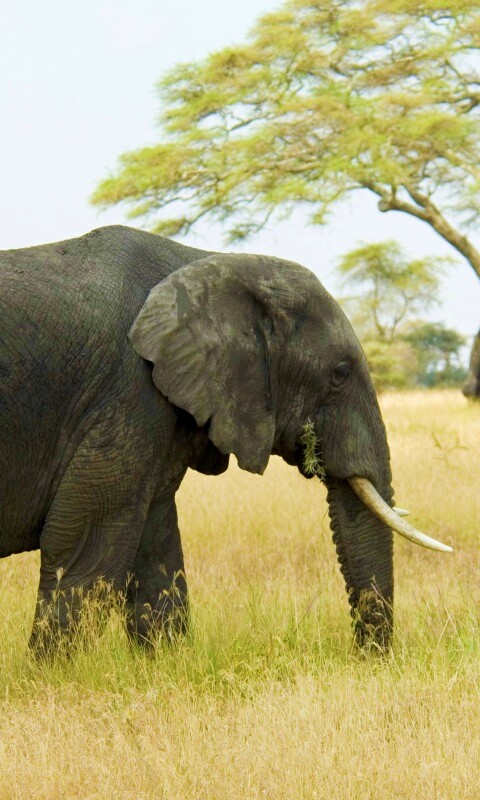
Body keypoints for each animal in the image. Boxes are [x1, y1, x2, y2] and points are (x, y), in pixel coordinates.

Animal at [0, 225, 451, 653]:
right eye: (339, 373)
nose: (366, 658)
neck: (212, 262)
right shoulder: (129, 392)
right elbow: (86, 546)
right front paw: (53, 671)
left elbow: (155, 548)